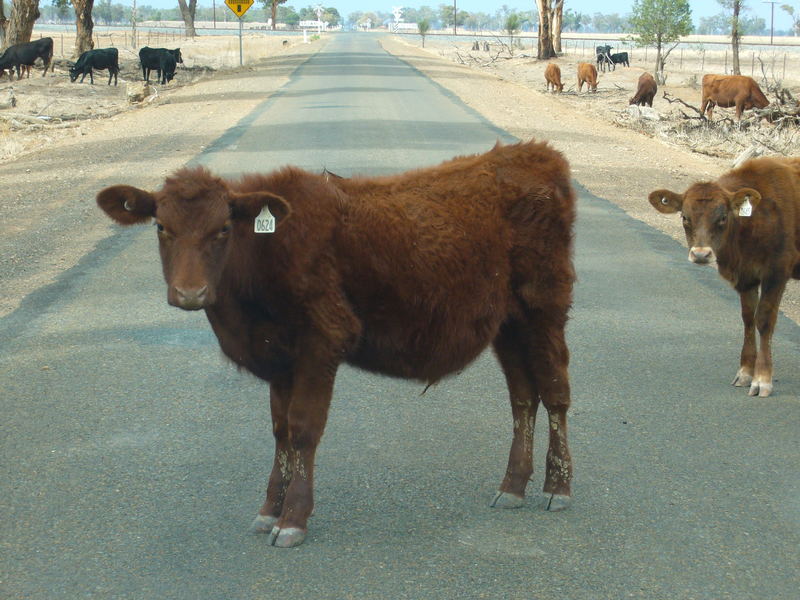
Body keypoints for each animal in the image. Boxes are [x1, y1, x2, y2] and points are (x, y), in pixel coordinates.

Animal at [98, 141, 576, 548]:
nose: (190, 293)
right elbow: (280, 431)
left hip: (544, 307)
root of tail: (536, 153)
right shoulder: (279, 358)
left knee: (555, 392)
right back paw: (512, 486)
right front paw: (269, 510)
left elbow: (303, 429)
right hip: (509, 325)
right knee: (523, 396)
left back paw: (559, 487)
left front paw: (293, 519)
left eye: (223, 229)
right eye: (161, 226)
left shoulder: (324, 340)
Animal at [648, 157, 800, 396]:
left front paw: (762, 379)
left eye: (722, 217)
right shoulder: (745, 277)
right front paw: (745, 373)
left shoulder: (777, 271)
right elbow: (748, 318)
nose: (701, 254)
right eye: (685, 217)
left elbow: (764, 320)